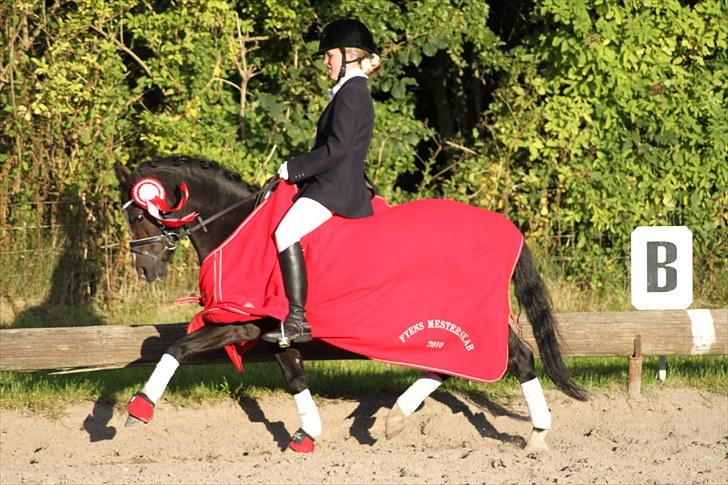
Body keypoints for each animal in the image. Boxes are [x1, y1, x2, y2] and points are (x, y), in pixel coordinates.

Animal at [114, 155, 587, 453]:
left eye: (137, 215)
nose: (145, 269)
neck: (237, 223)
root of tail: (509, 230)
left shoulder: (244, 320)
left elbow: (177, 348)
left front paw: (137, 410)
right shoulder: (265, 328)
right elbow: (294, 374)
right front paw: (307, 434)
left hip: (466, 315)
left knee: (511, 358)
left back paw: (534, 435)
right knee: (467, 362)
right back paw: (404, 418)